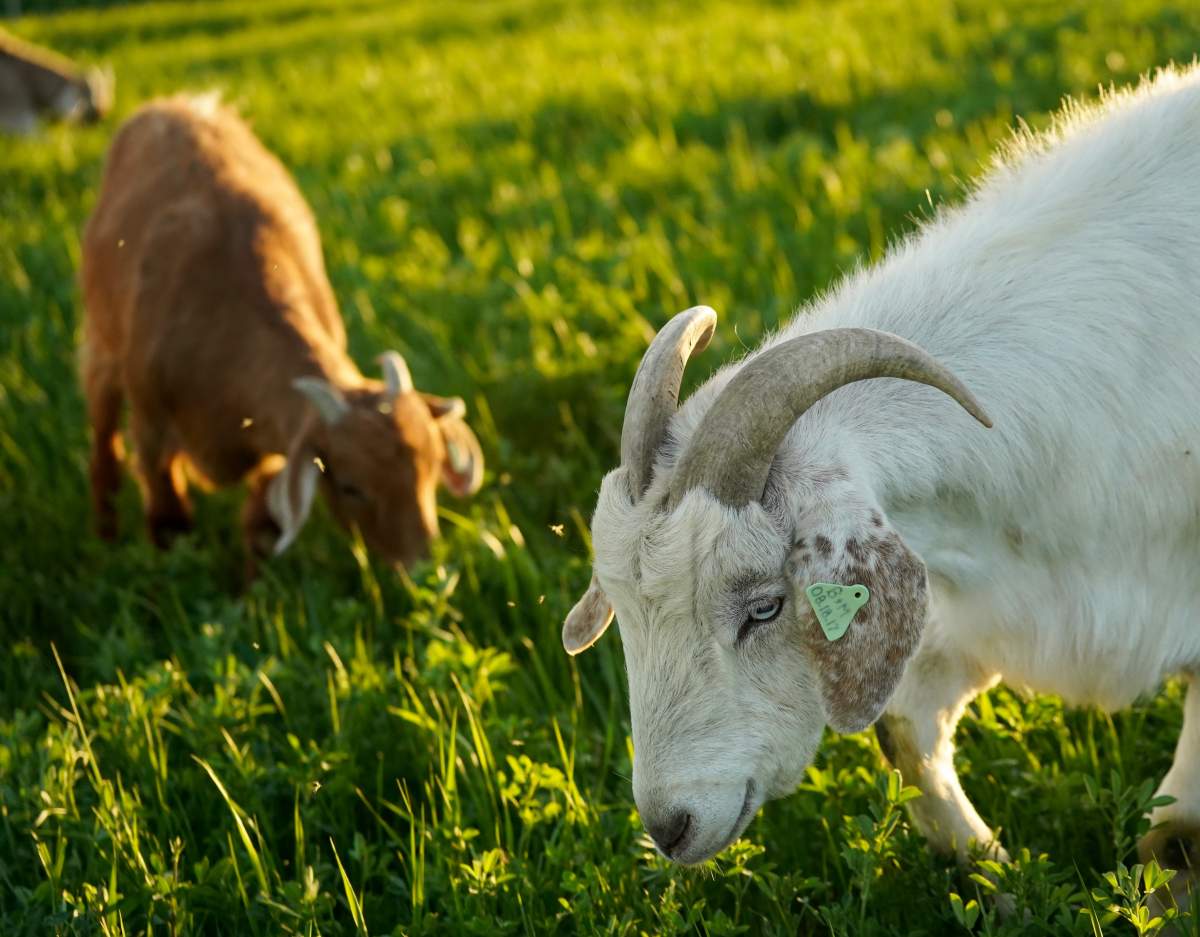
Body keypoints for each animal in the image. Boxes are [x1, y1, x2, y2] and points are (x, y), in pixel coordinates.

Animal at [81, 95, 483, 575]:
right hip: (100, 343)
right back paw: (104, 534)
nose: (422, 567)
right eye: (350, 486)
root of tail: (175, 103)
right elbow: (168, 522)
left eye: (434, 467)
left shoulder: (274, 444)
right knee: (104, 438)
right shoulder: (152, 427)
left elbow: (262, 530)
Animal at [562, 64, 1200, 907]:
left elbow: (1176, 834)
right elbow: (904, 730)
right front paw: (1002, 882)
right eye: (623, 611)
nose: (669, 824)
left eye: (765, 606)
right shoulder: (986, 596)